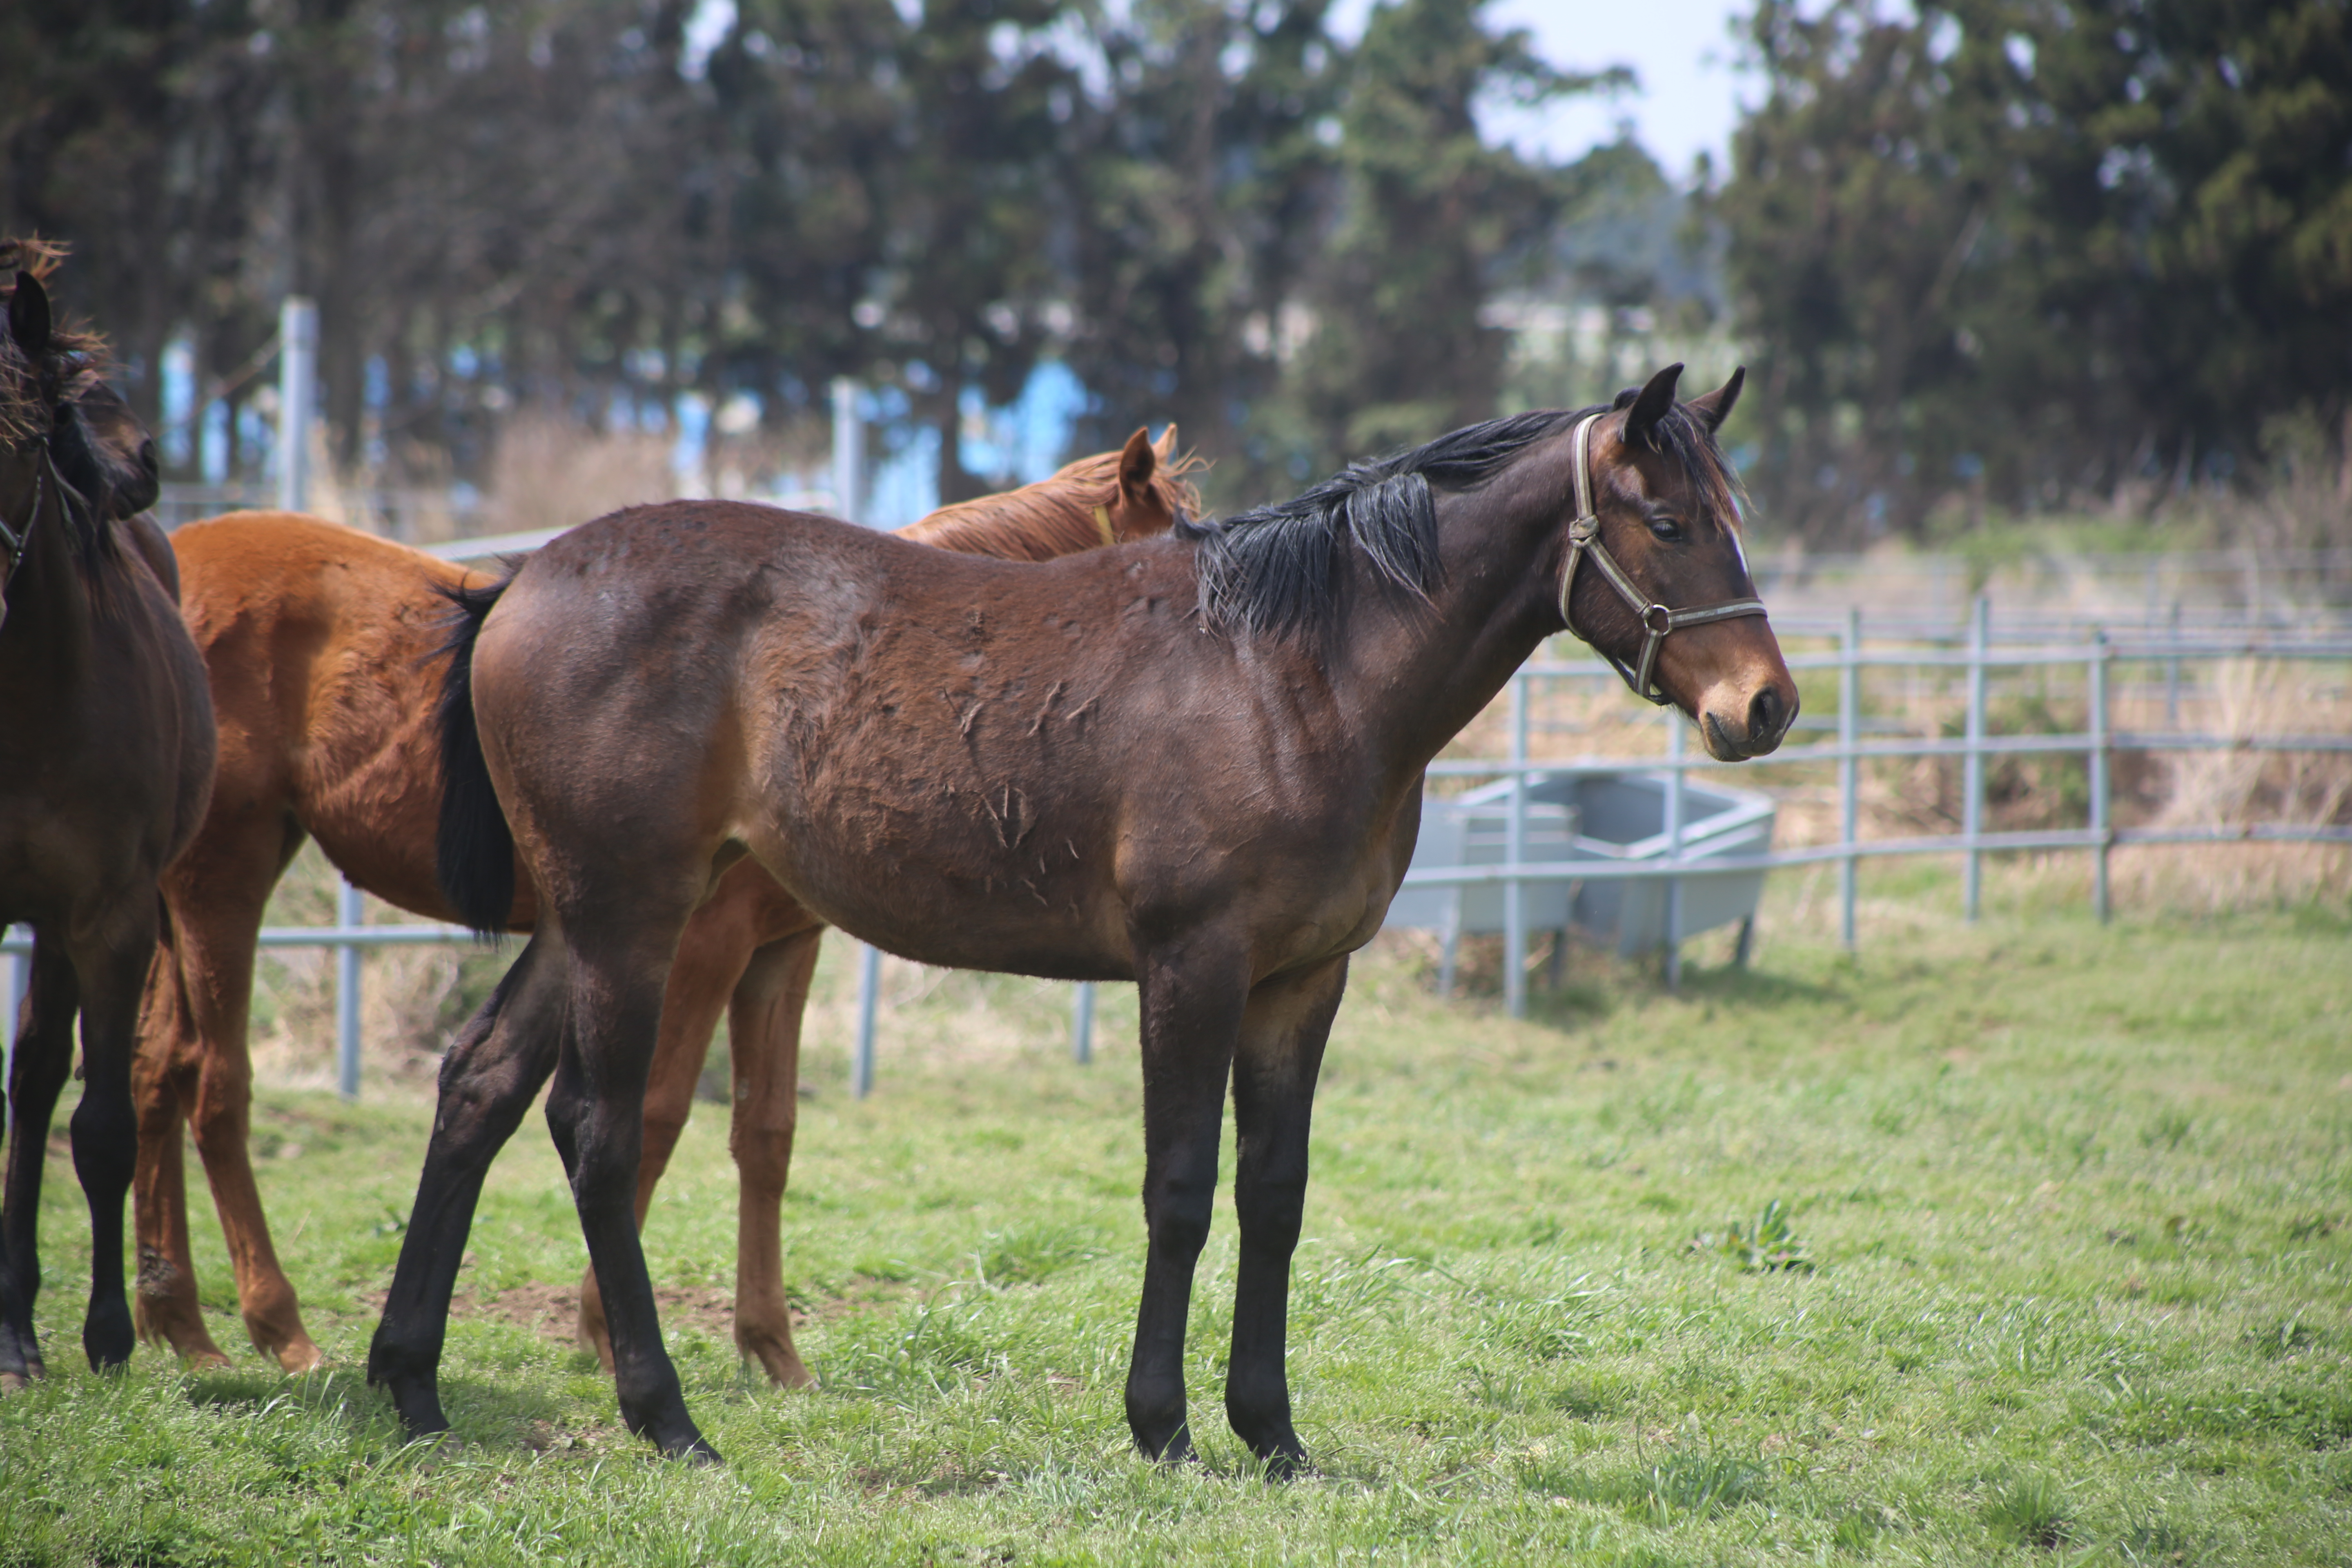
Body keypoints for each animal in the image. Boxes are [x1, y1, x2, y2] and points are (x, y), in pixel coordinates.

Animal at [126, 423, 1195, 1382]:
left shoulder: (781, 953)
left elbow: (765, 1136)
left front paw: (772, 1348)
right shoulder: (700, 944)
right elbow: (658, 1112)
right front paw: (606, 1331)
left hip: (181, 900)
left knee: (155, 1070)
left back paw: (176, 1322)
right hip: (226, 877)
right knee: (214, 1079)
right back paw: (278, 1326)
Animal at [381, 362, 1797, 1467]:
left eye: (1737, 514)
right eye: (1668, 519)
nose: (1767, 704)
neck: (1295, 673)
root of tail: (517, 584)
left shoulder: (1302, 982)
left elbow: (1274, 1193)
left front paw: (1272, 1431)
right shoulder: (1193, 967)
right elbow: (1182, 1188)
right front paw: (1161, 1424)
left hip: (583, 921)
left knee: (480, 1086)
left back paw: (409, 1385)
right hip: (631, 919)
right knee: (596, 1127)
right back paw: (664, 1416)